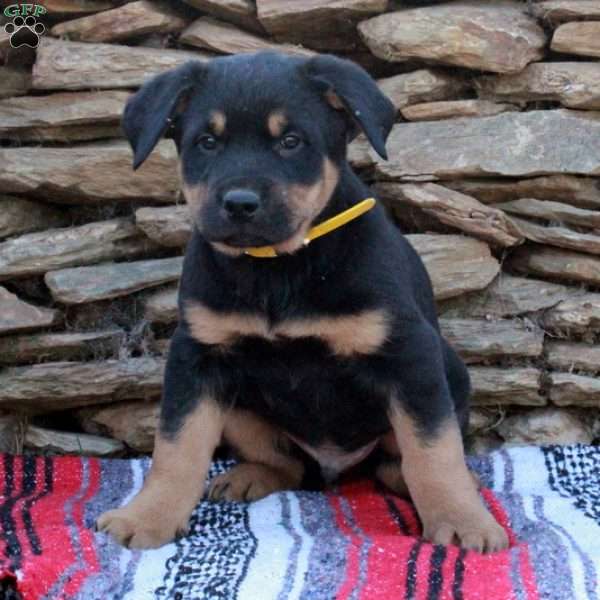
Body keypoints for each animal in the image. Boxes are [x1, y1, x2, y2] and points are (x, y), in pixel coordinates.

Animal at [96, 51, 508, 552]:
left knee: (396, 464)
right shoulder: (198, 356)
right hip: (240, 409)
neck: (278, 268)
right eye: (207, 142)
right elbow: (176, 447)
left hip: (451, 373)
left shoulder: (410, 356)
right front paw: (147, 516)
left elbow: (433, 450)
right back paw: (247, 477)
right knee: (286, 464)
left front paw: (462, 521)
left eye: (291, 141)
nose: (239, 203)